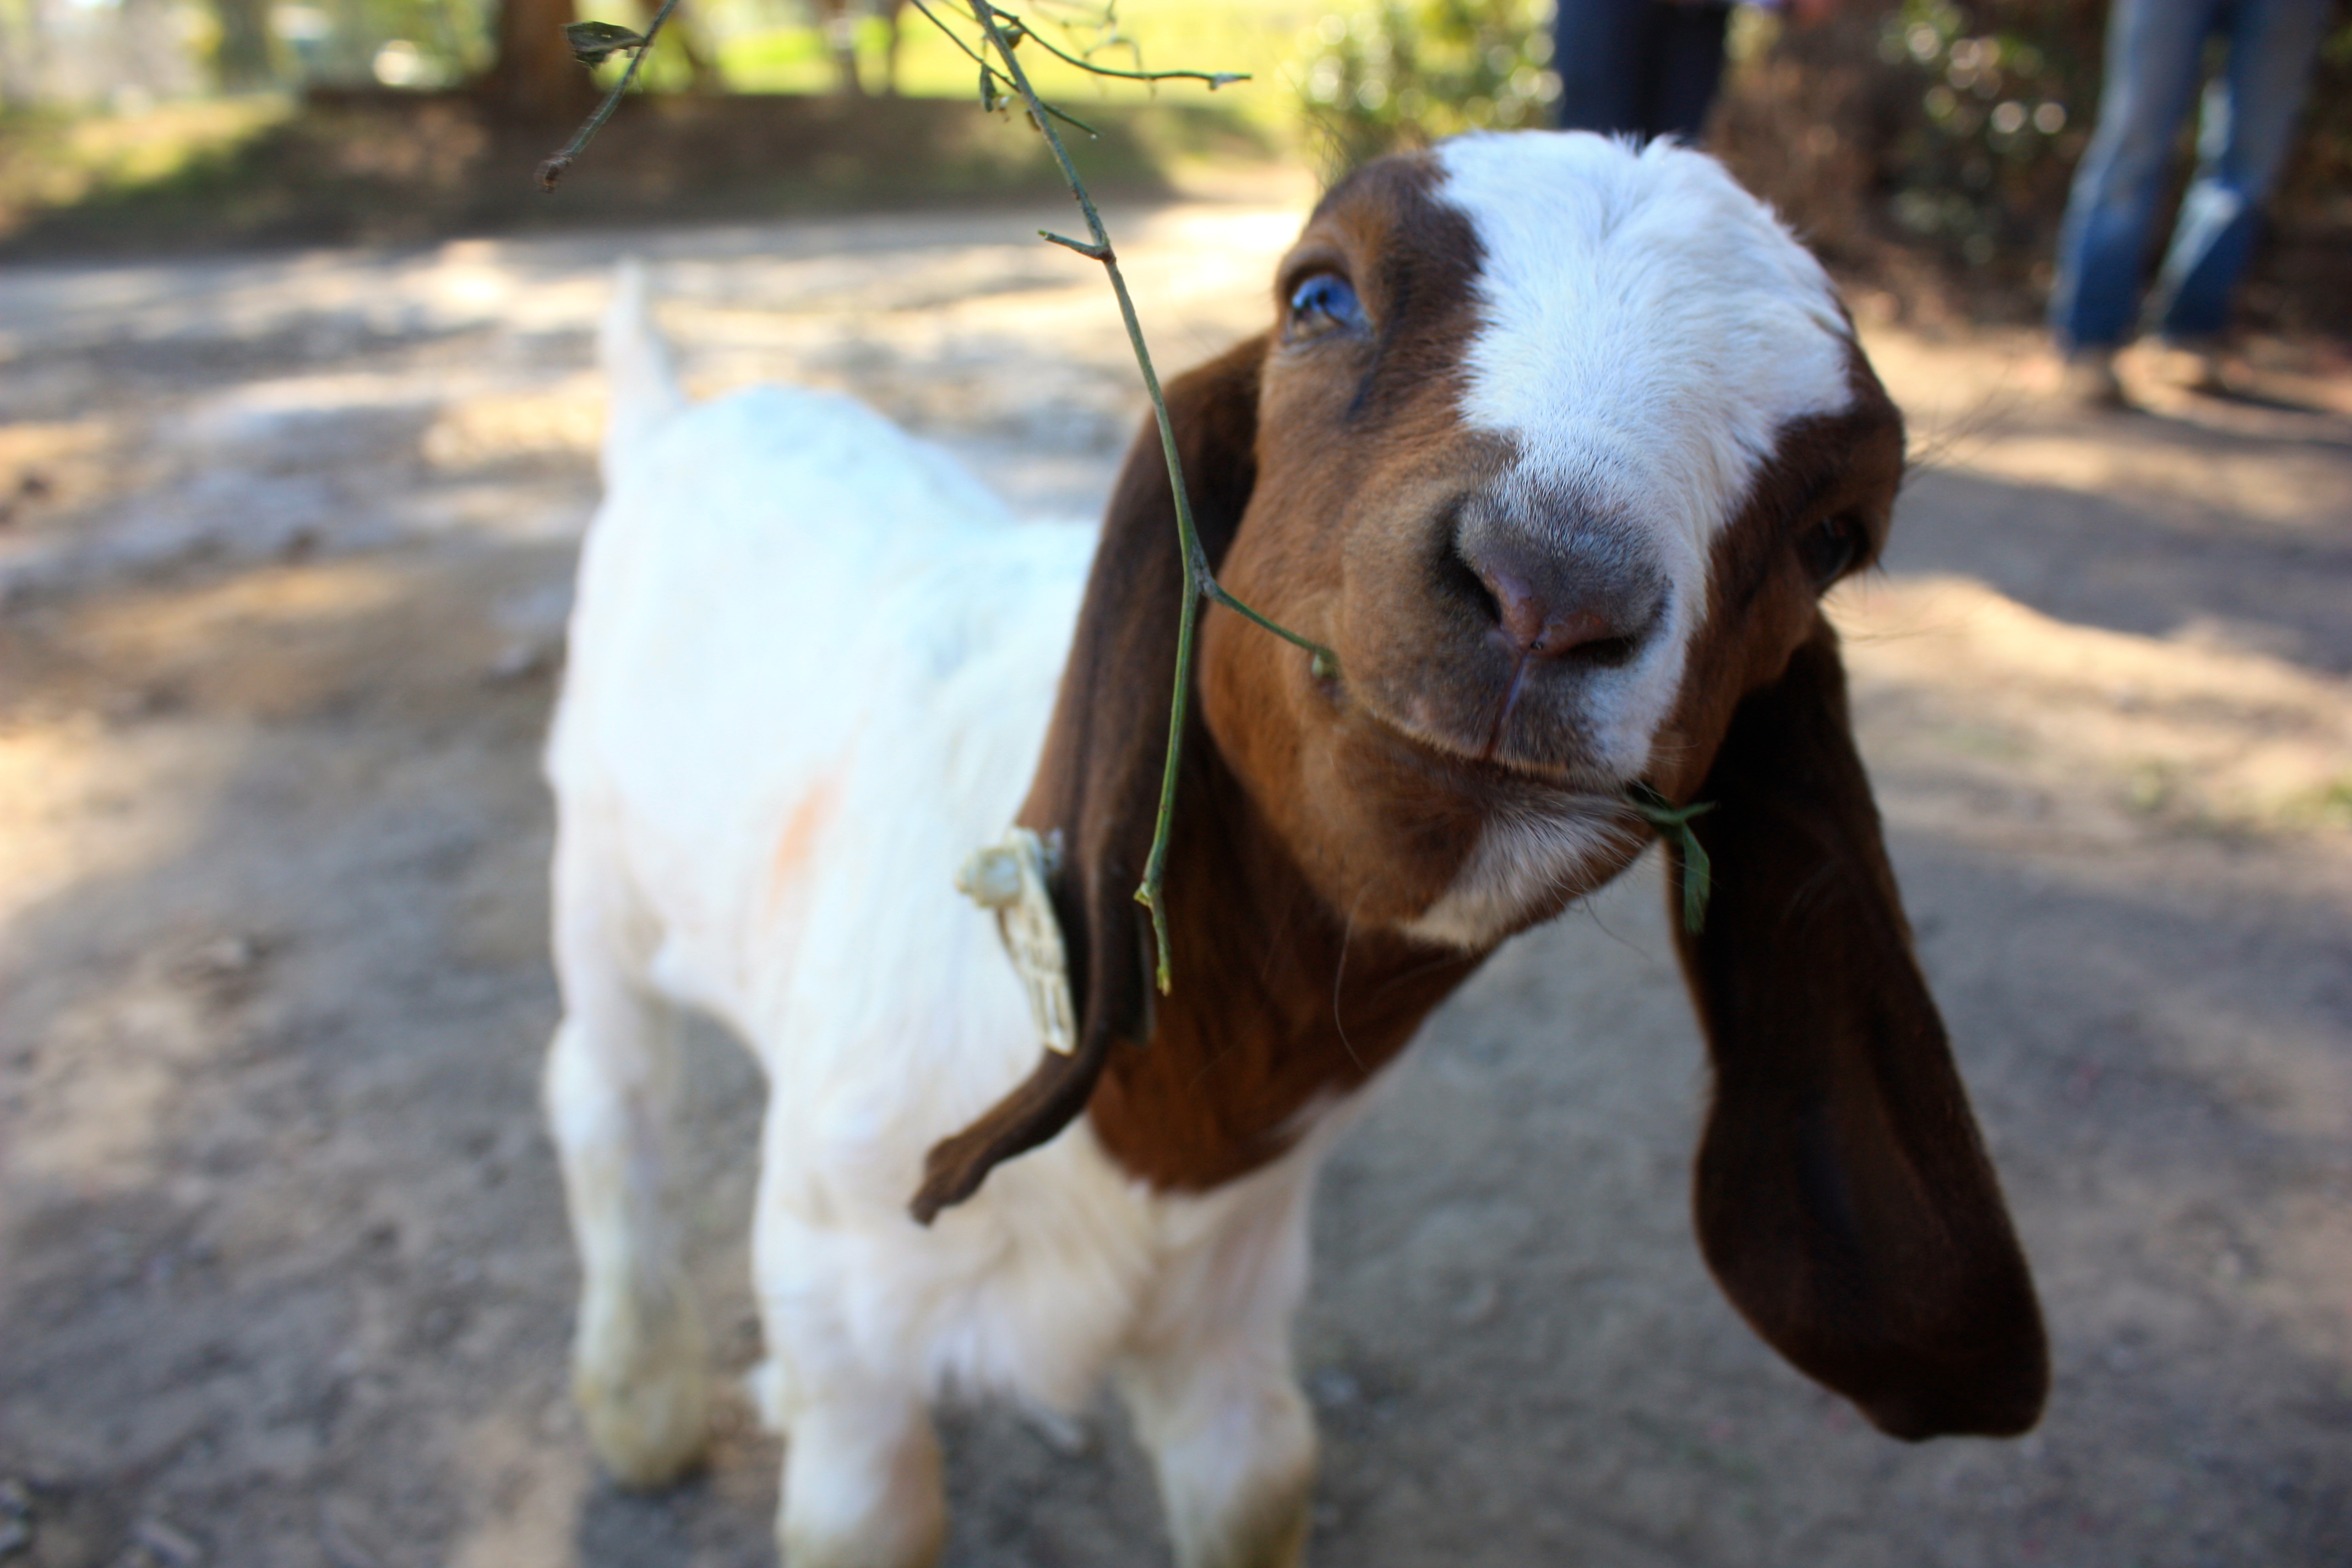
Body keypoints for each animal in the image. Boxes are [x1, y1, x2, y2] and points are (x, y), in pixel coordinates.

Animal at [546, 135, 2041, 1568]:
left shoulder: (1232, 1313)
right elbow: (869, 1513)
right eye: (1321, 296)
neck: (1163, 1144)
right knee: (607, 1095)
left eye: (1835, 533)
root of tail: (687, 414)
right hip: (600, 879)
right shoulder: (839, 1298)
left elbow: (1263, 1480)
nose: (1548, 587)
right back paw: (639, 1401)